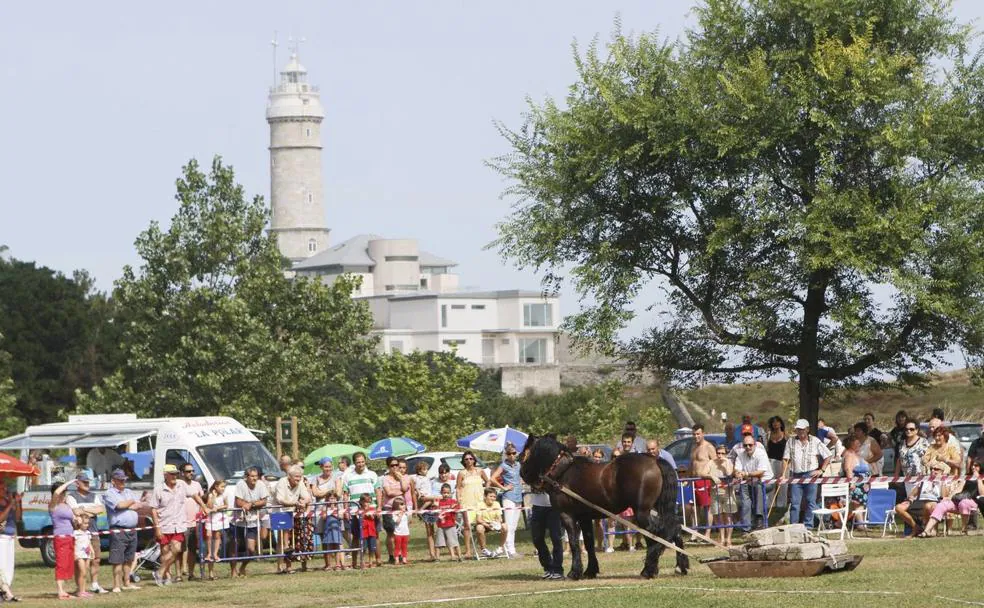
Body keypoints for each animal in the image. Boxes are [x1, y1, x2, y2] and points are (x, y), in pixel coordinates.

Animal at [520, 432, 688, 580]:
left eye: (525, 453)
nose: (522, 473)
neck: (563, 472)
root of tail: (654, 460)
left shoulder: (567, 515)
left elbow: (574, 543)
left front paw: (574, 572)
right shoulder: (585, 518)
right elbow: (588, 543)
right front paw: (590, 570)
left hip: (642, 512)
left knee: (656, 534)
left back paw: (649, 570)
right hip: (657, 509)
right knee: (674, 528)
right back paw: (680, 566)